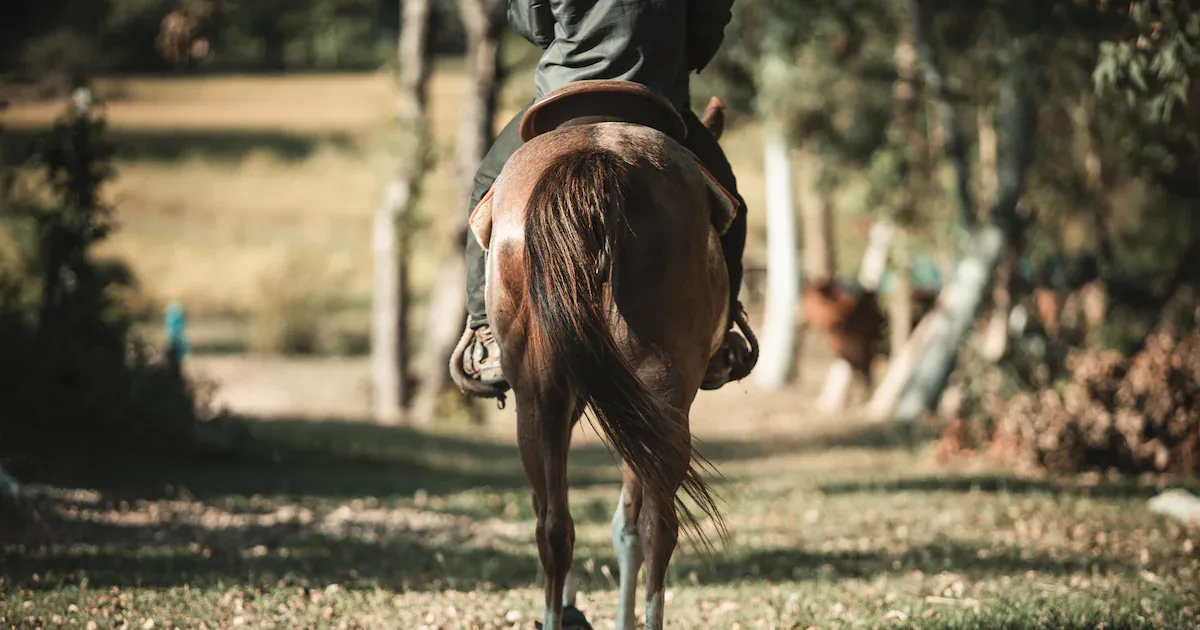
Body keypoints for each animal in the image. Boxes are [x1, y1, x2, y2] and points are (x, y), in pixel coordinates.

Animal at [460, 81, 740, 629]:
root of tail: (595, 159)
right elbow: (627, 526)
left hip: (539, 396)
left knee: (553, 525)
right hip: (660, 393)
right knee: (657, 525)